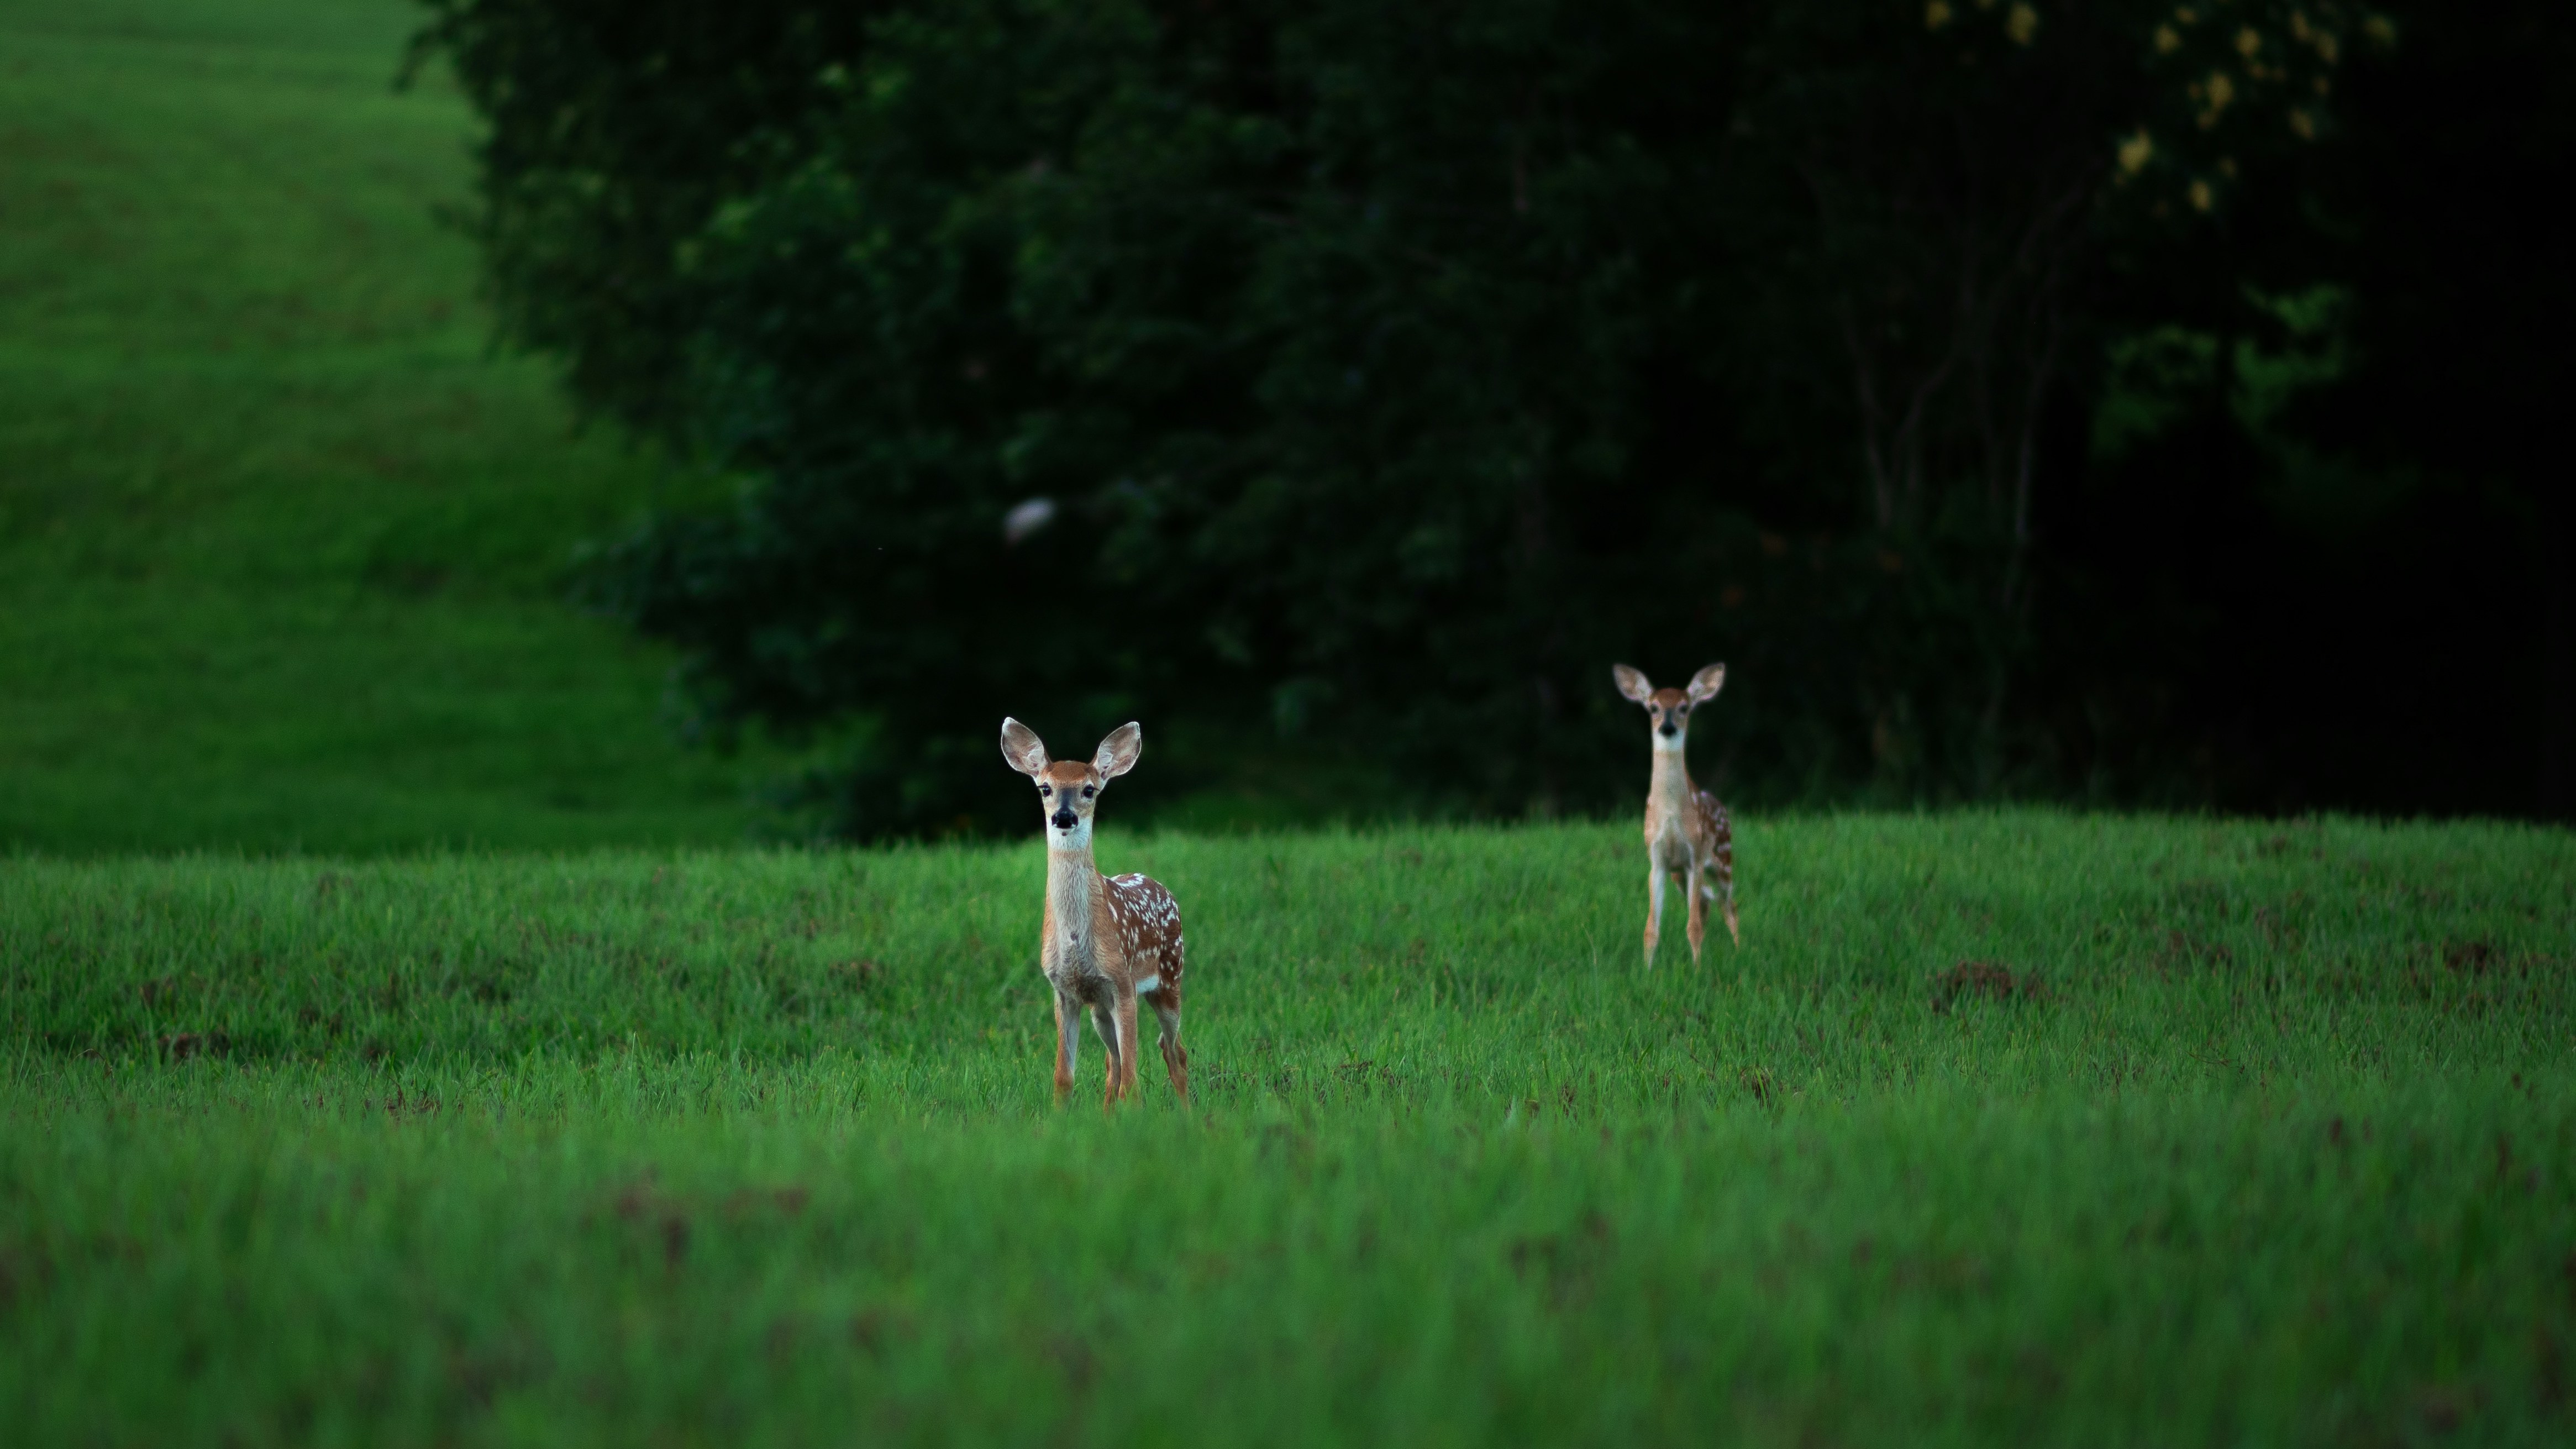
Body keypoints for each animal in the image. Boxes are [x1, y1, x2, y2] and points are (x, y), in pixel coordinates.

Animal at [999, 718, 1188, 1108]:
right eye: (1045, 788)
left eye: (1089, 790)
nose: (1064, 816)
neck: (1076, 937)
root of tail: (1160, 885)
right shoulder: (1064, 991)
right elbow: (1064, 1078)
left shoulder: (1123, 984)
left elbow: (1132, 1083)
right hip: (1100, 1007)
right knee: (1113, 1062)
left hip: (1170, 978)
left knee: (1174, 1050)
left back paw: (1191, 1114)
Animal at [1612, 663, 1738, 965]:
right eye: (1653, 707)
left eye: (1684, 707)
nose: (1667, 727)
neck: (1670, 813)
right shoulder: (1658, 859)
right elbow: (1651, 930)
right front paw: (1647, 970)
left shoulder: (1696, 855)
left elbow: (1692, 927)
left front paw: (1697, 971)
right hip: (1679, 875)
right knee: (1706, 905)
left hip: (1723, 861)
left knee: (1730, 907)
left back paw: (1741, 951)